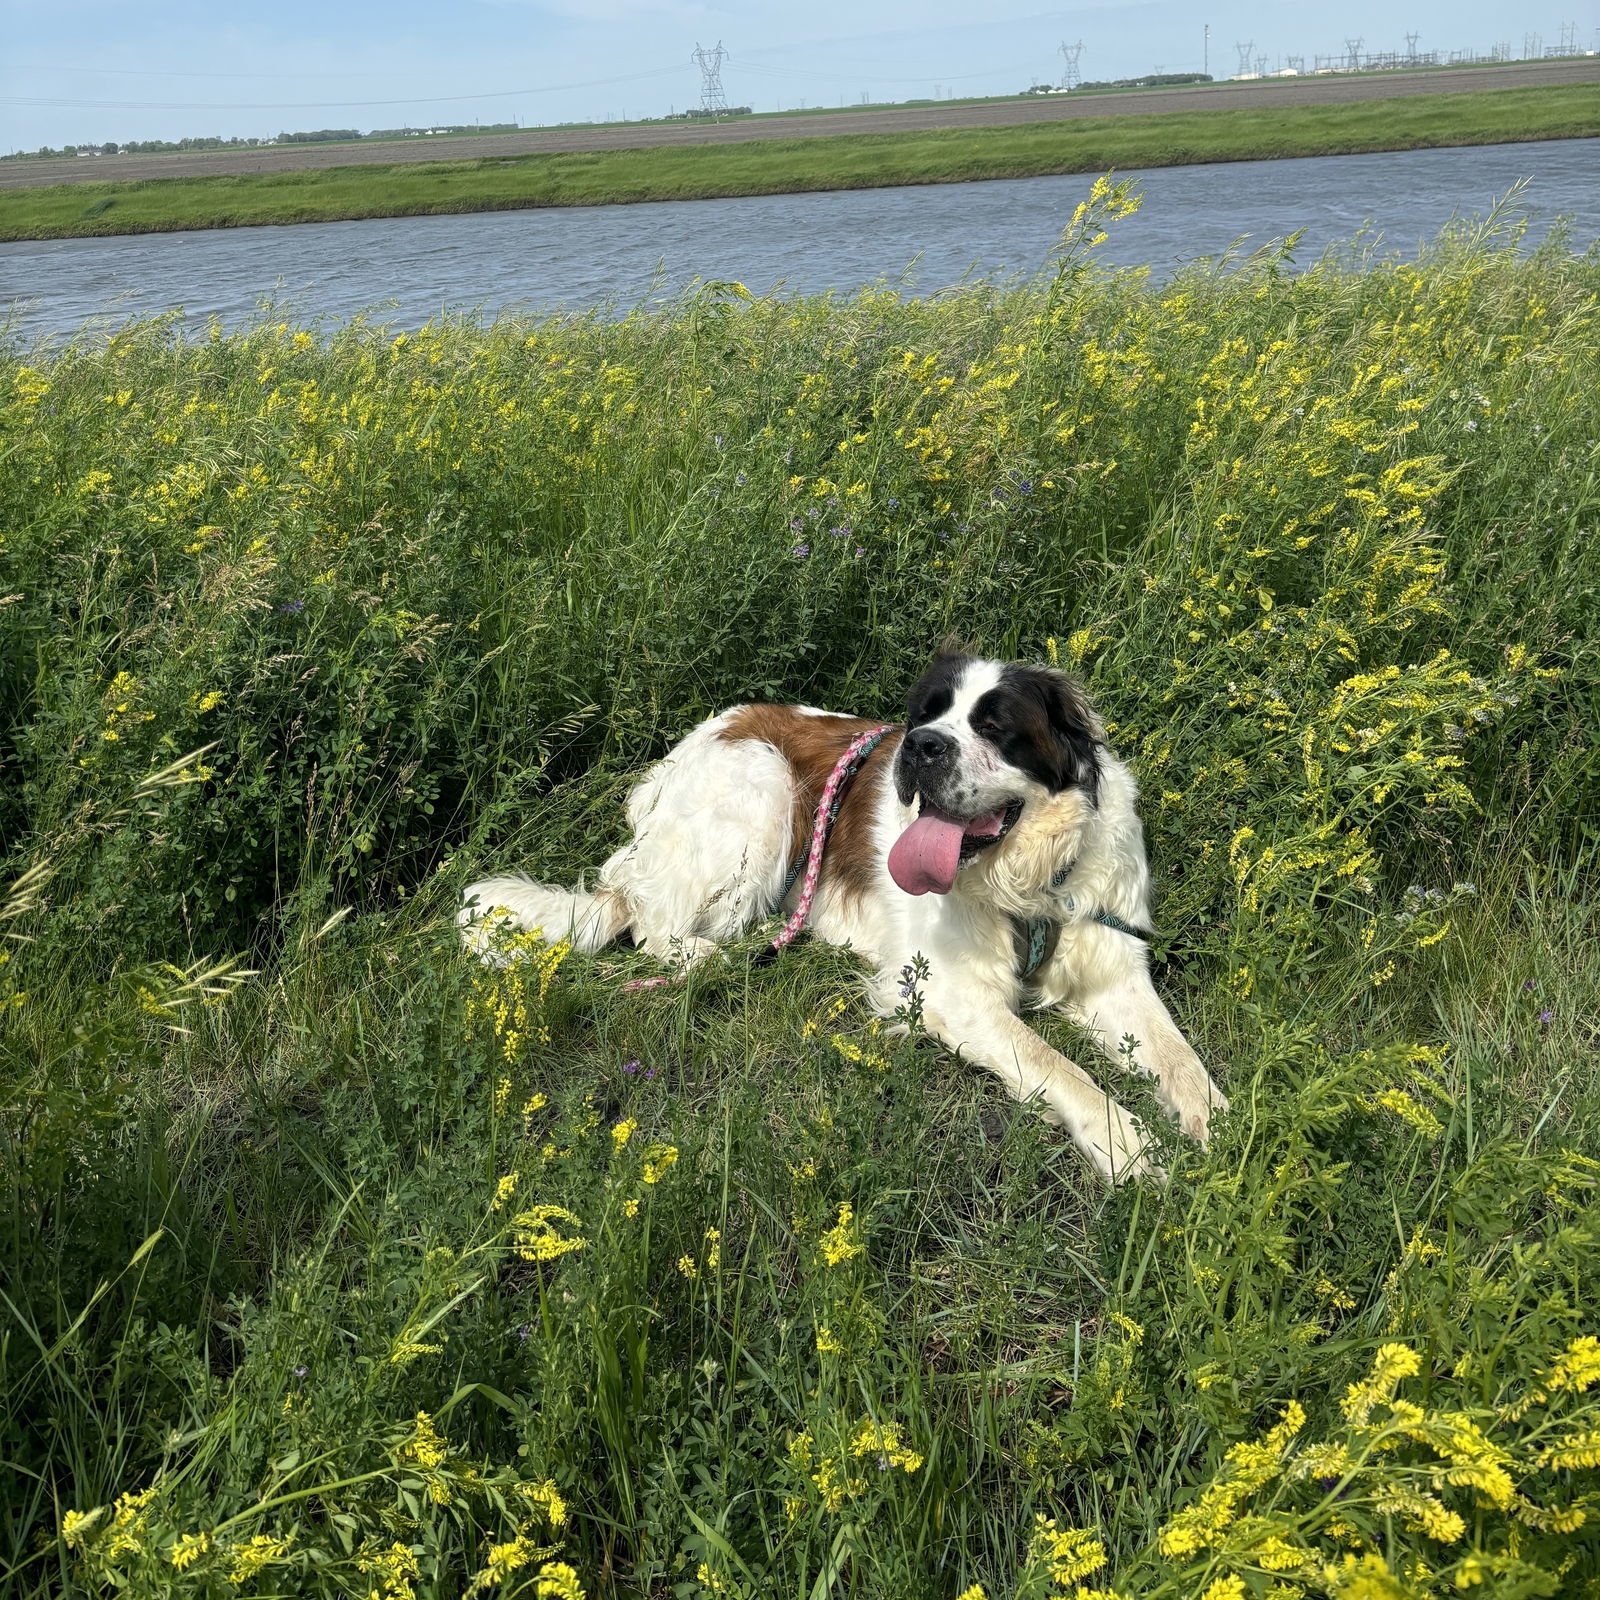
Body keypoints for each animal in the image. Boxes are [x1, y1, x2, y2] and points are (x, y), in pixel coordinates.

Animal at [457, 643, 1228, 1184]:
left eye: (996, 726)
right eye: (928, 715)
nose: (921, 746)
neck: (1029, 883)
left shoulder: (1112, 963)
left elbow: (1178, 1055)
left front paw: (1221, 1131)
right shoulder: (951, 993)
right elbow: (1060, 1065)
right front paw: (1129, 1145)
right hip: (762, 783)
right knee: (651, 924)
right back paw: (713, 954)